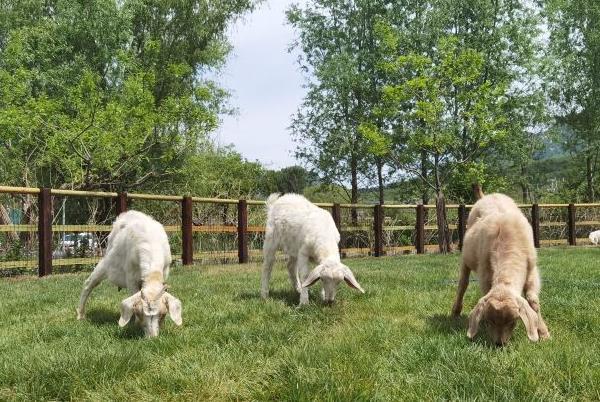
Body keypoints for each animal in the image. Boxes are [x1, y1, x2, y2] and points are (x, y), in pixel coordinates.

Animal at [452, 193, 552, 344]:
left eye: (513, 321)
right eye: (489, 321)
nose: (499, 344)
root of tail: (488, 195)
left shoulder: (531, 272)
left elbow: (533, 301)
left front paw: (544, 333)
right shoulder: (485, 274)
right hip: (466, 258)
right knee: (463, 284)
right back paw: (456, 310)